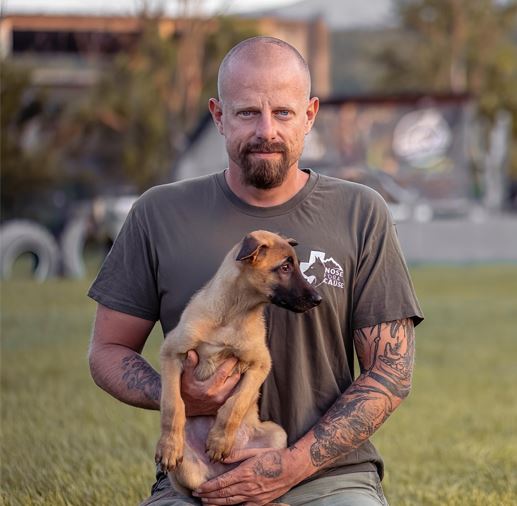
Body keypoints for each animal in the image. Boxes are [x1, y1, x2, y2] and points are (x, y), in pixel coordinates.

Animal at [155, 230, 322, 494]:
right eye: (285, 267)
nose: (318, 299)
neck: (232, 315)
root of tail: (216, 473)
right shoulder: (171, 352)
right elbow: (173, 404)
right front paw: (169, 446)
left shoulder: (261, 363)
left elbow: (236, 402)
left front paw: (219, 440)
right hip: (185, 472)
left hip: (277, 434)